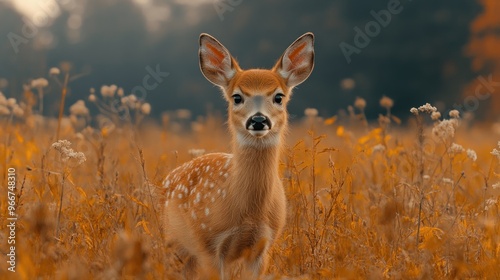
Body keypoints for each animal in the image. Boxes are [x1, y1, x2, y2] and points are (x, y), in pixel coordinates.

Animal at [162, 31, 314, 278]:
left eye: (279, 97)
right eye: (237, 97)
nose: (259, 120)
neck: (249, 213)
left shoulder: (263, 247)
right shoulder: (209, 245)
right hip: (173, 241)